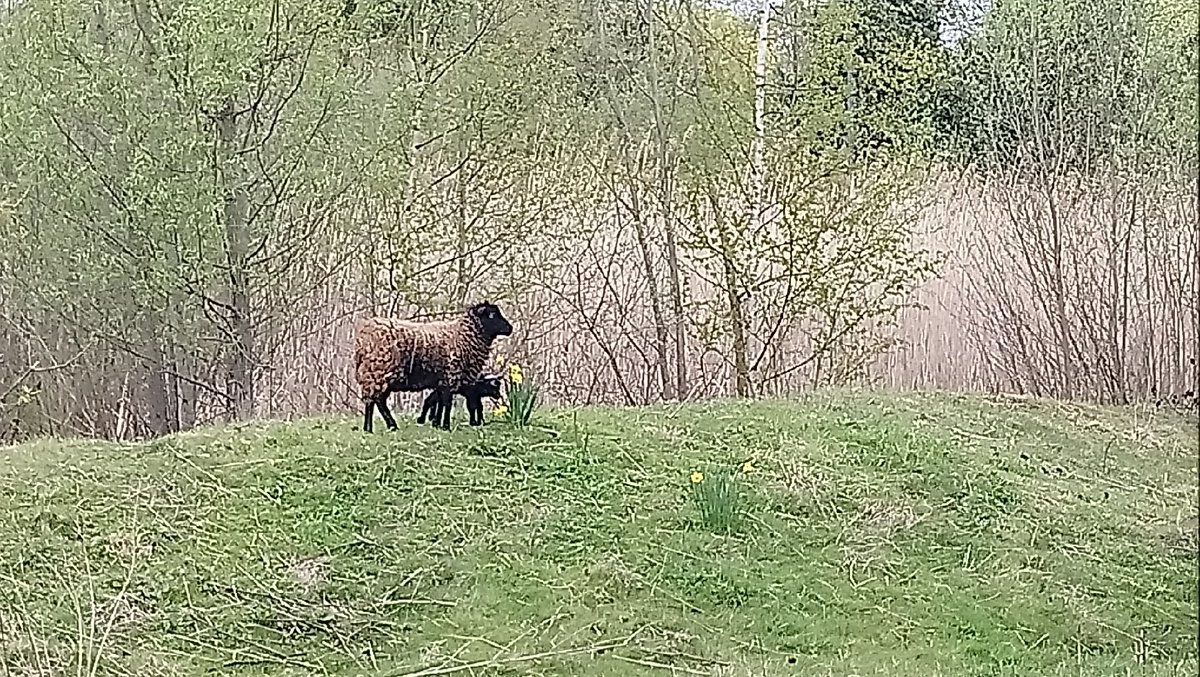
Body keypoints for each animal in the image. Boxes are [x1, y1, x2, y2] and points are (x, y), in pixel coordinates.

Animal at [354, 300, 513, 432]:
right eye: (492, 315)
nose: (510, 328)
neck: (463, 336)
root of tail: (363, 337)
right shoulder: (450, 377)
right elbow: (447, 404)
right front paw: (446, 426)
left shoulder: (442, 382)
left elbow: (440, 404)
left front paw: (438, 424)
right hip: (379, 371)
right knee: (376, 401)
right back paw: (381, 427)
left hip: (376, 374)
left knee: (374, 400)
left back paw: (376, 428)